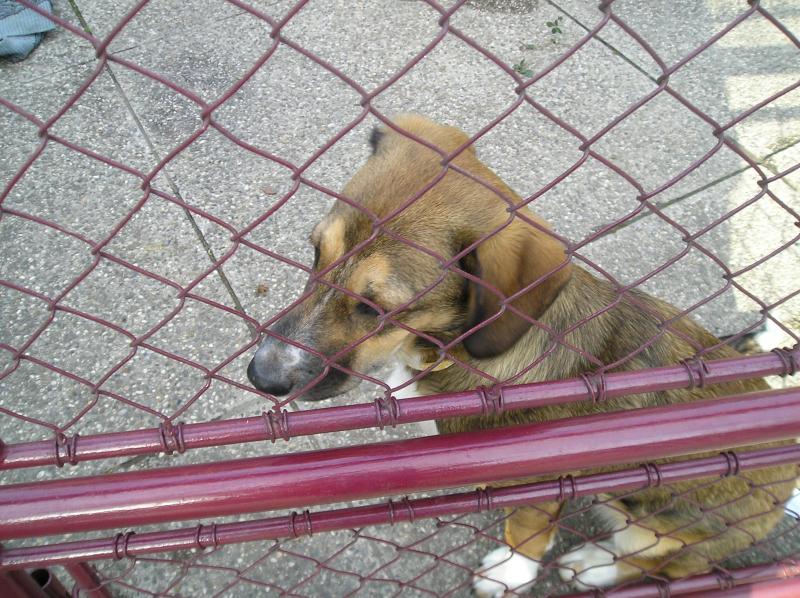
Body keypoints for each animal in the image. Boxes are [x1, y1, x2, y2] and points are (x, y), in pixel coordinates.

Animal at [247, 114, 795, 595]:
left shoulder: (539, 480)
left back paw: (595, 565)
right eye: (316, 254)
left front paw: (509, 576)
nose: (261, 376)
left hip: (658, 517)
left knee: (662, 562)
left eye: (375, 307)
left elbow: (526, 536)